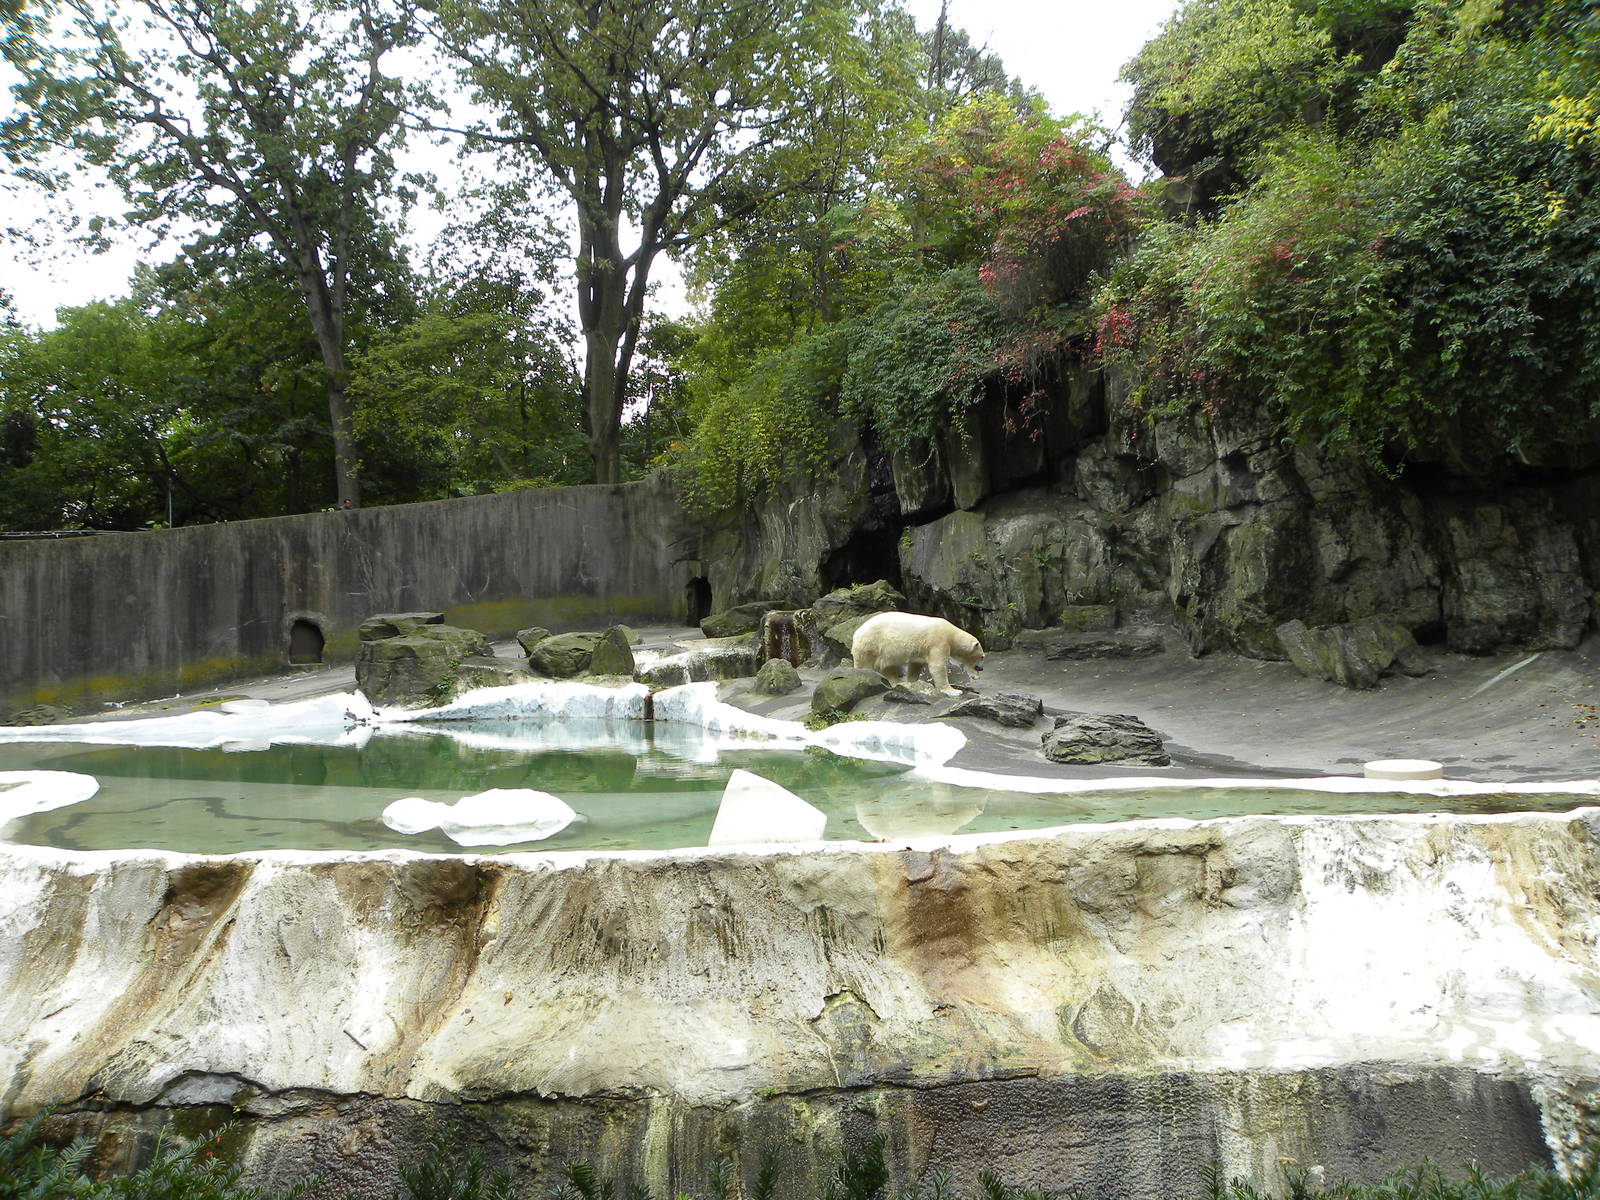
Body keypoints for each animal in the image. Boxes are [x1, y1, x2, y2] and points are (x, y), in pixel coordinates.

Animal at [850, 611, 985, 696]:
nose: (981, 668)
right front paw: (954, 691)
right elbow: (938, 667)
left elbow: (915, 666)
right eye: (982, 656)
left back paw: (899, 682)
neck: (951, 633)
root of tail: (856, 632)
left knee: (887, 667)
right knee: (865, 664)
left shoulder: (921, 649)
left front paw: (913, 682)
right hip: (872, 644)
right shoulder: (938, 641)